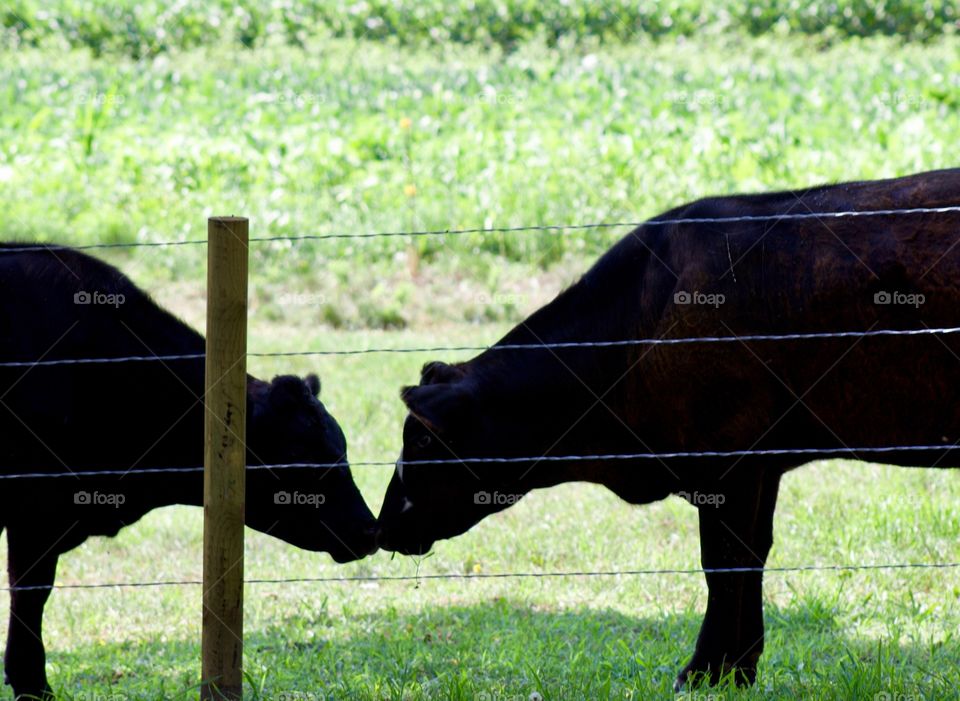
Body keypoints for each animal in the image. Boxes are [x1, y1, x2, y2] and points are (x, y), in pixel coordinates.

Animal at [378, 171, 960, 688]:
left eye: (422, 438)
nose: (381, 527)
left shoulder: (727, 461)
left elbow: (725, 563)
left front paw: (708, 671)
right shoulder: (761, 464)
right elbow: (749, 557)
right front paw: (737, 668)